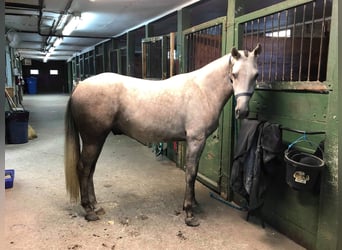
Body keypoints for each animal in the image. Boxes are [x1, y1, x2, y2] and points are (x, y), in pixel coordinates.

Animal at [65, 43, 262, 227]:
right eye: (234, 74)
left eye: (256, 75)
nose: (242, 111)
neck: (203, 90)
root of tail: (80, 85)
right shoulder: (195, 140)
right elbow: (191, 173)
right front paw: (189, 213)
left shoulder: (199, 142)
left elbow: (194, 172)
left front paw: (194, 204)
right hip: (93, 139)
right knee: (83, 168)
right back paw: (89, 210)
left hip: (97, 140)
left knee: (90, 170)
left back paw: (95, 205)